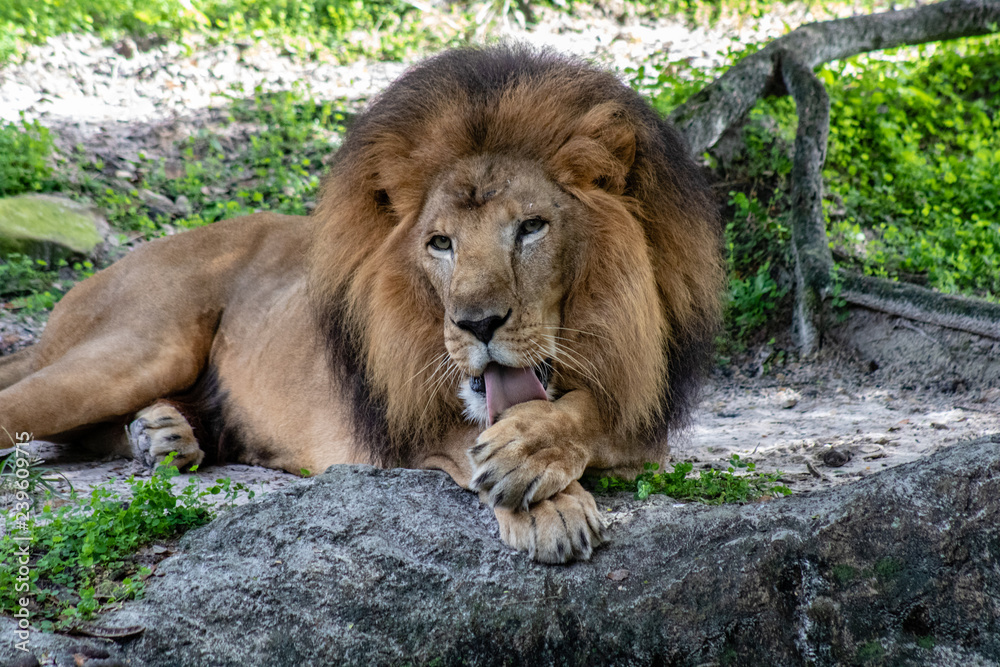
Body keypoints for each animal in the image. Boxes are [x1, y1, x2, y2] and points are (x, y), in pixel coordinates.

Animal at [0, 45, 728, 564]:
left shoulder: (643, 415)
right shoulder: (410, 419)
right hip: (140, 347)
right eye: (440, 243)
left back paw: (163, 433)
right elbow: (475, 445)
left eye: (530, 228)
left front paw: (528, 452)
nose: (477, 324)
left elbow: (590, 414)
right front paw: (545, 504)